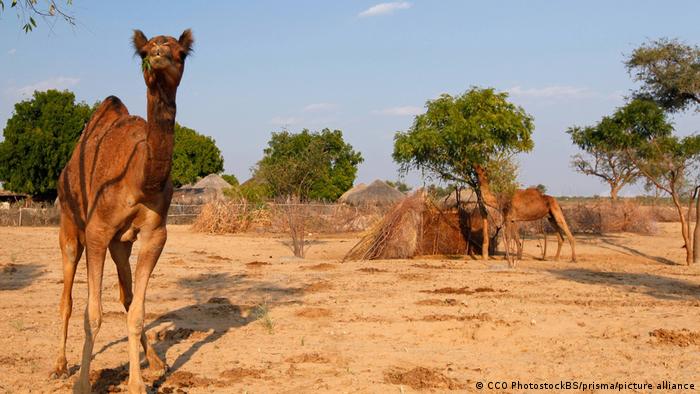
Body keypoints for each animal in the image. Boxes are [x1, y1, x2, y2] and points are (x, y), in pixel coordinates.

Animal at [49, 29, 193, 392]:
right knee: (67, 299)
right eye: (144, 50)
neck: (140, 178)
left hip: (121, 244)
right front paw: (82, 384)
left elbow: (137, 311)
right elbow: (92, 314)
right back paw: (59, 366)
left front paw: (139, 382)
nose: (157, 56)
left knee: (127, 299)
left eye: (182, 52)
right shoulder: (97, 232)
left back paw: (155, 361)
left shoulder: (155, 234)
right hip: (69, 224)